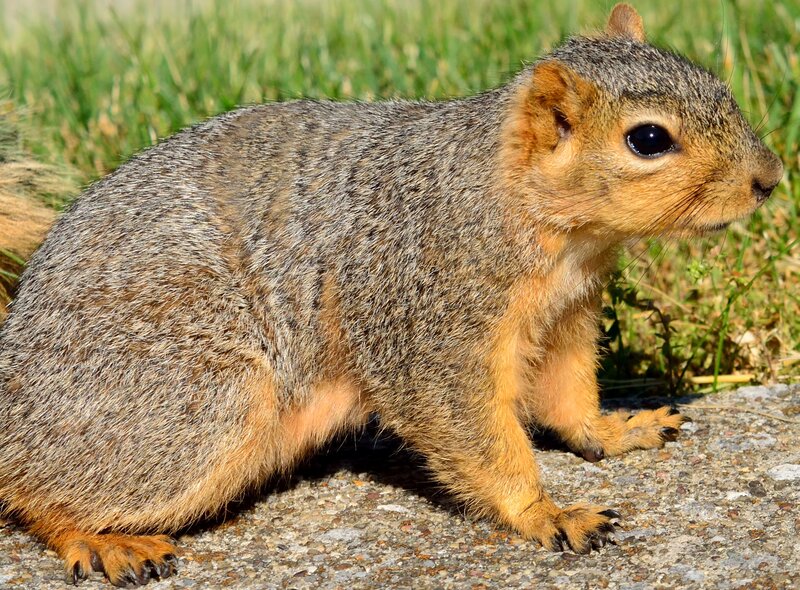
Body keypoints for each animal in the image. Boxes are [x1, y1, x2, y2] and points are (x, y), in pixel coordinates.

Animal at [0, 4, 783, 586]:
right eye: (648, 139)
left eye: (718, 85)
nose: (771, 178)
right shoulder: (428, 315)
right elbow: (470, 429)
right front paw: (546, 513)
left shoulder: (565, 317)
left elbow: (568, 397)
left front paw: (617, 430)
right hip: (189, 407)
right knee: (33, 487)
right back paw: (100, 539)